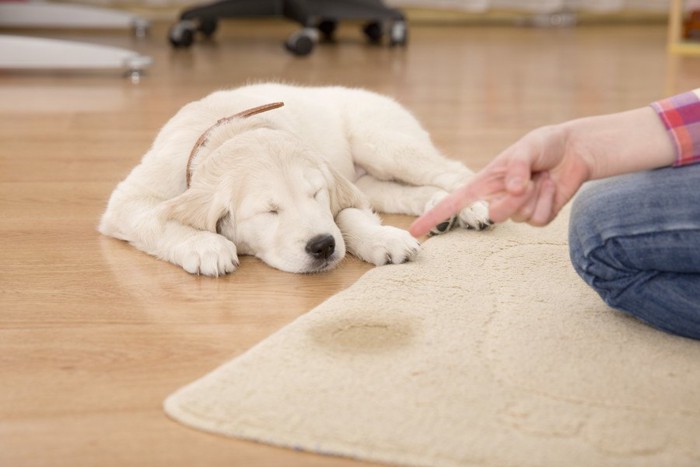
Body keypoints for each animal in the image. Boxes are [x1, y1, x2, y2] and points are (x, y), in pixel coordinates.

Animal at [98, 82, 490, 276]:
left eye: (316, 194)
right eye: (270, 212)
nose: (322, 246)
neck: (229, 129)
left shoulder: (338, 187)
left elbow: (347, 216)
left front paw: (382, 239)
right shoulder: (128, 200)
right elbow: (158, 221)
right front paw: (205, 246)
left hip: (383, 143)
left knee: (453, 171)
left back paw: (472, 208)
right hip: (370, 176)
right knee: (401, 191)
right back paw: (440, 209)